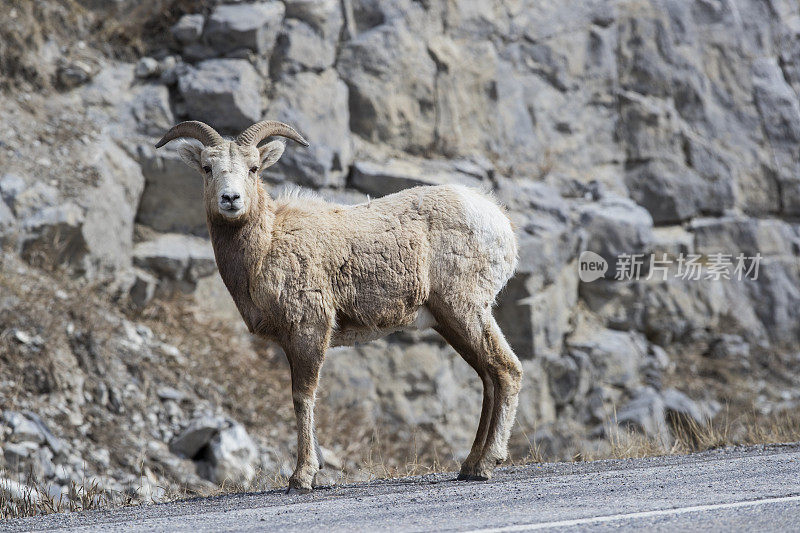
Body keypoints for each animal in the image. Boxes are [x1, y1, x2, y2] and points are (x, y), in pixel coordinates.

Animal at [155, 119, 524, 490]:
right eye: (207, 168)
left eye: (253, 167)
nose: (230, 199)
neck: (268, 244)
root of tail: (500, 222)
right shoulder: (290, 342)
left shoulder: (309, 329)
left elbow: (303, 397)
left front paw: (302, 476)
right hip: (451, 321)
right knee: (488, 376)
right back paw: (470, 464)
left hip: (464, 309)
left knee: (506, 369)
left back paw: (486, 463)